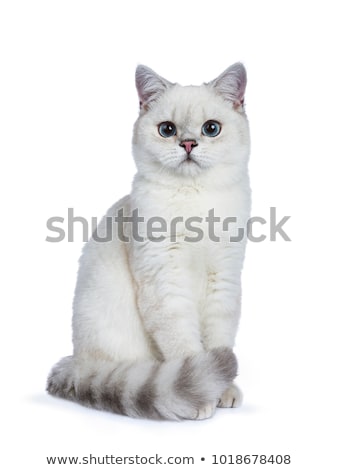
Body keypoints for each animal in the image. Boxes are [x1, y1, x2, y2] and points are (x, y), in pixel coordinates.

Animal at [48, 61, 252, 418]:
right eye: (167, 130)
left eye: (211, 129)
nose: (188, 144)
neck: (195, 200)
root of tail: (78, 365)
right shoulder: (165, 281)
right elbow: (186, 348)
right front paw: (203, 396)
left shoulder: (224, 280)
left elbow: (219, 339)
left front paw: (223, 390)